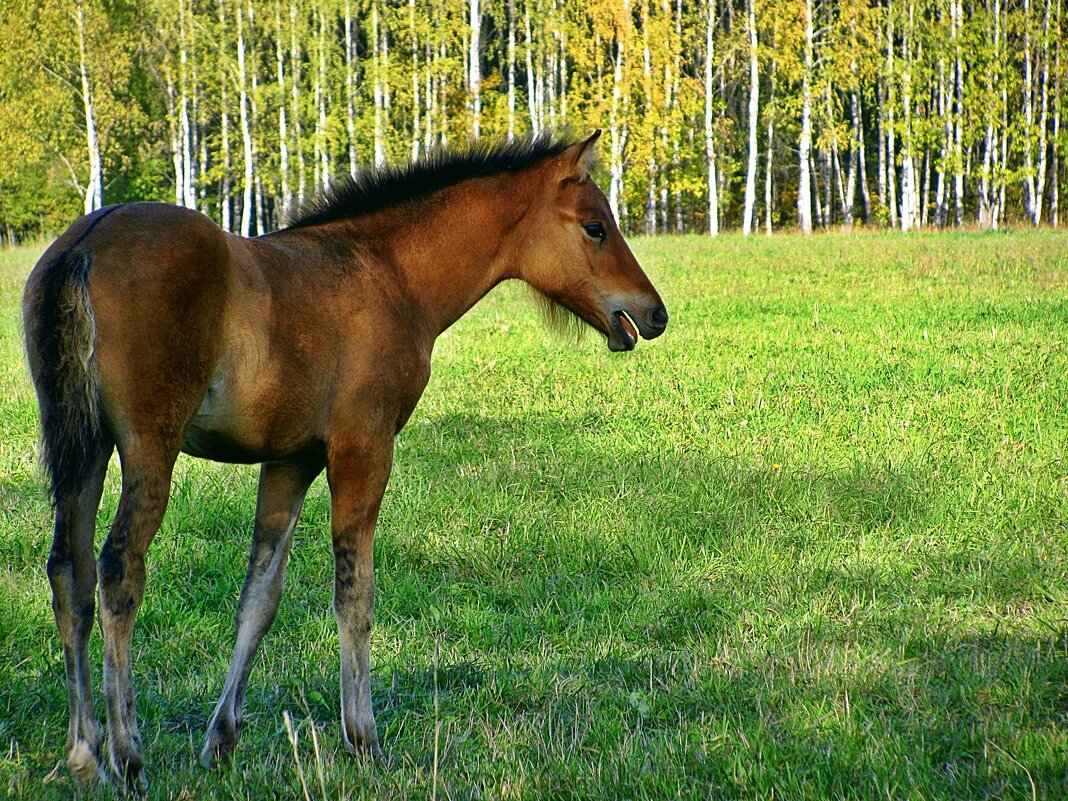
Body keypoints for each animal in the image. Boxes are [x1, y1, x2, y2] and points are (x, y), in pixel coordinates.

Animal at [20, 131, 662, 790]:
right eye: (594, 228)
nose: (654, 313)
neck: (391, 275)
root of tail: (86, 240)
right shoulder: (364, 448)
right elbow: (356, 594)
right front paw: (365, 739)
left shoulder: (291, 461)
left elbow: (260, 597)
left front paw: (221, 741)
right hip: (150, 446)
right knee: (119, 569)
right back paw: (126, 752)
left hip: (83, 449)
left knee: (69, 571)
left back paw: (84, 752)